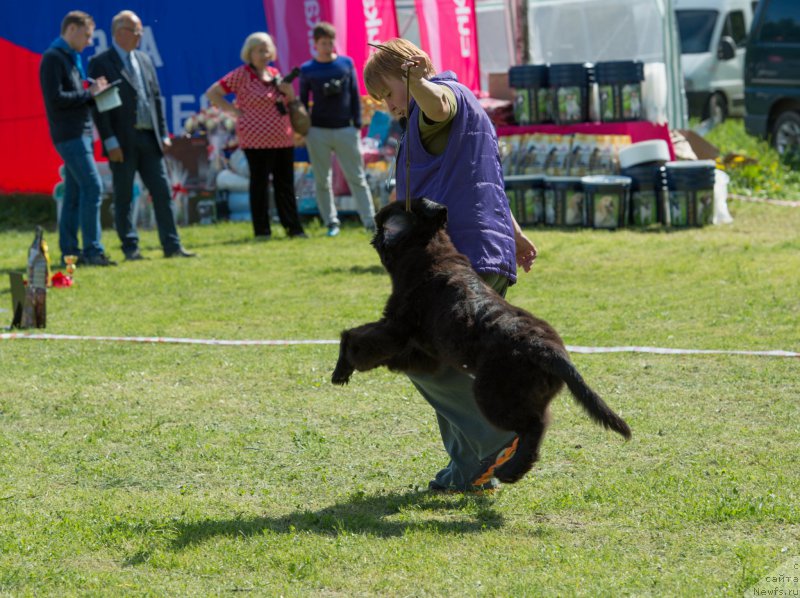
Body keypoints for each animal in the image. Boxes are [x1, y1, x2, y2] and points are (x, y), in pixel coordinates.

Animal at [332, 199, 632, 486]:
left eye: (390, 218)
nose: (376, 229)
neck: (427, 255)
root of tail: (550, 351)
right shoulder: (423, 352)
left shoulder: (396, 328)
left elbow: (357, 339)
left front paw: (342, 367)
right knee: (540, 423)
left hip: (493, 394)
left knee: (533, 426)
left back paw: (510, 470)